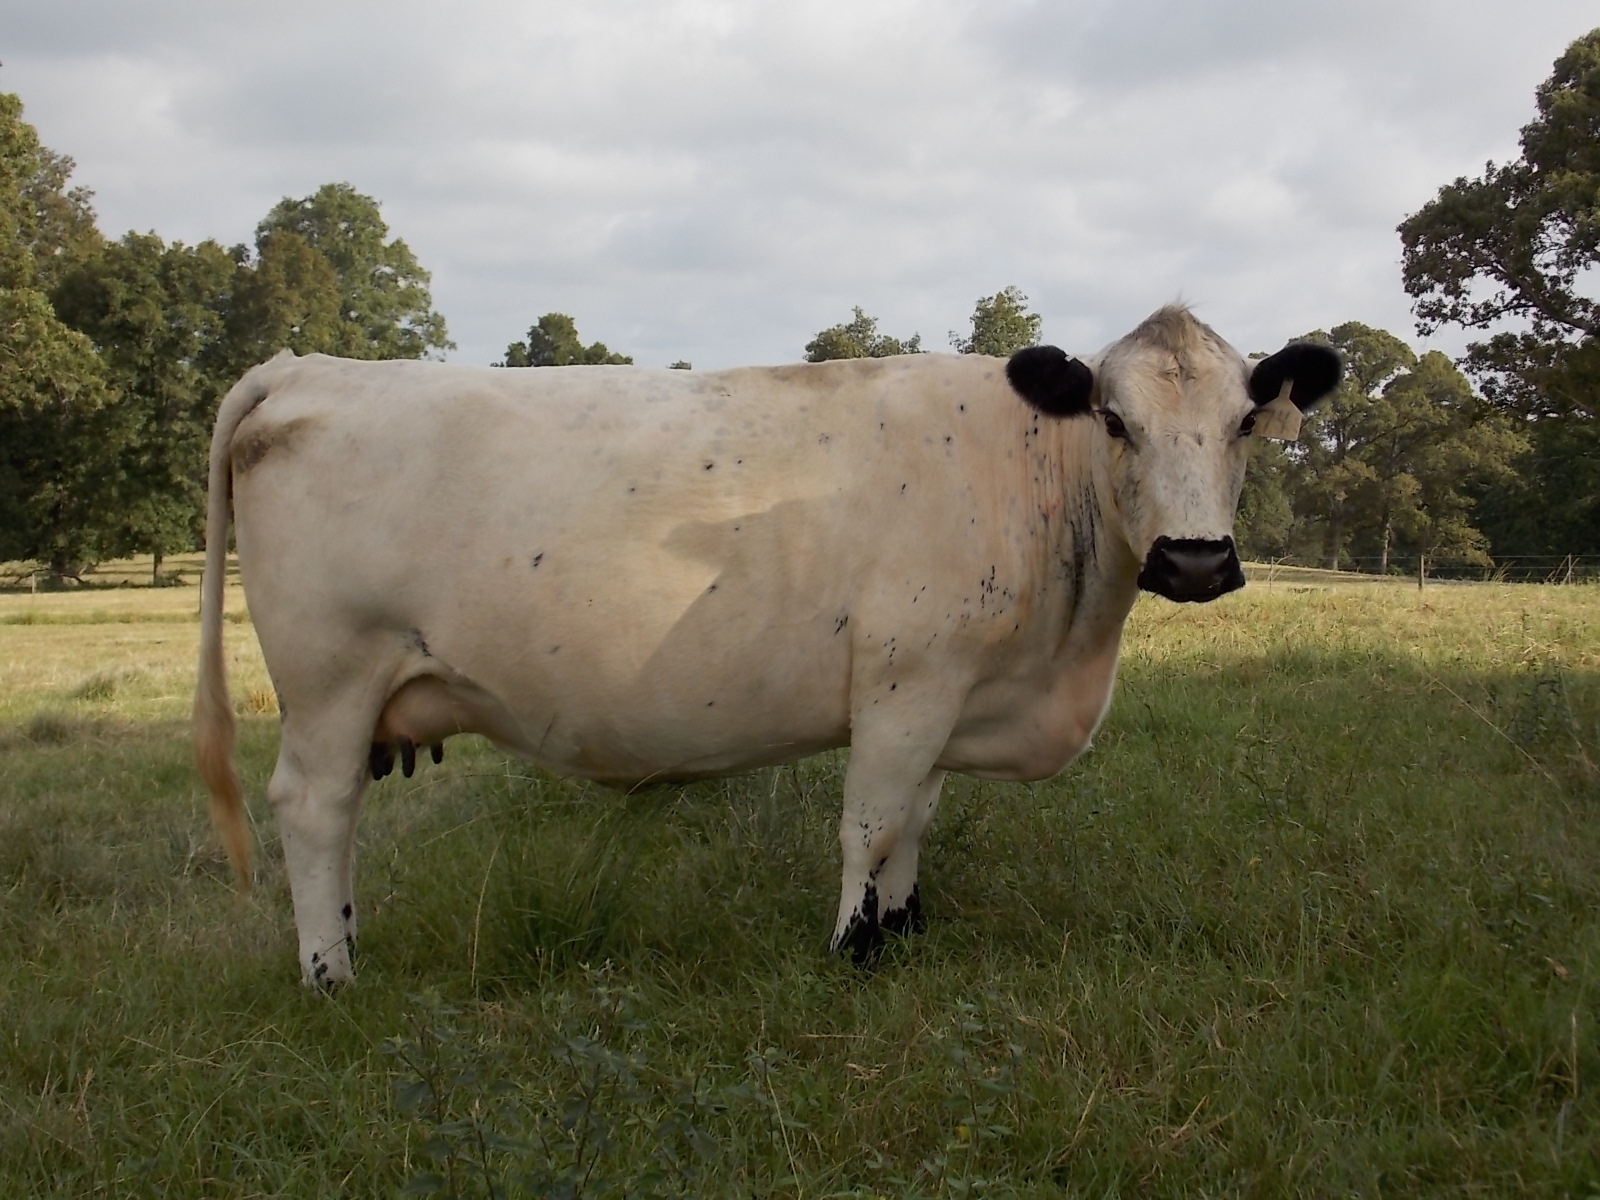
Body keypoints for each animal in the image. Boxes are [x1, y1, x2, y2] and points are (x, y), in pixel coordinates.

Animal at [194, 306, 1339, 986]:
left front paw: (904, 929)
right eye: (1112, 419)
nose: (1194, 562)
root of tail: (306, 365)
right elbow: (869, 825)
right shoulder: (904, 684)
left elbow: (916, 821)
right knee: (314, 810)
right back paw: (330, 973)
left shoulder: (948, 695)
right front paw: (852, 949)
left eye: (1243, 423)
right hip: (331, 681)